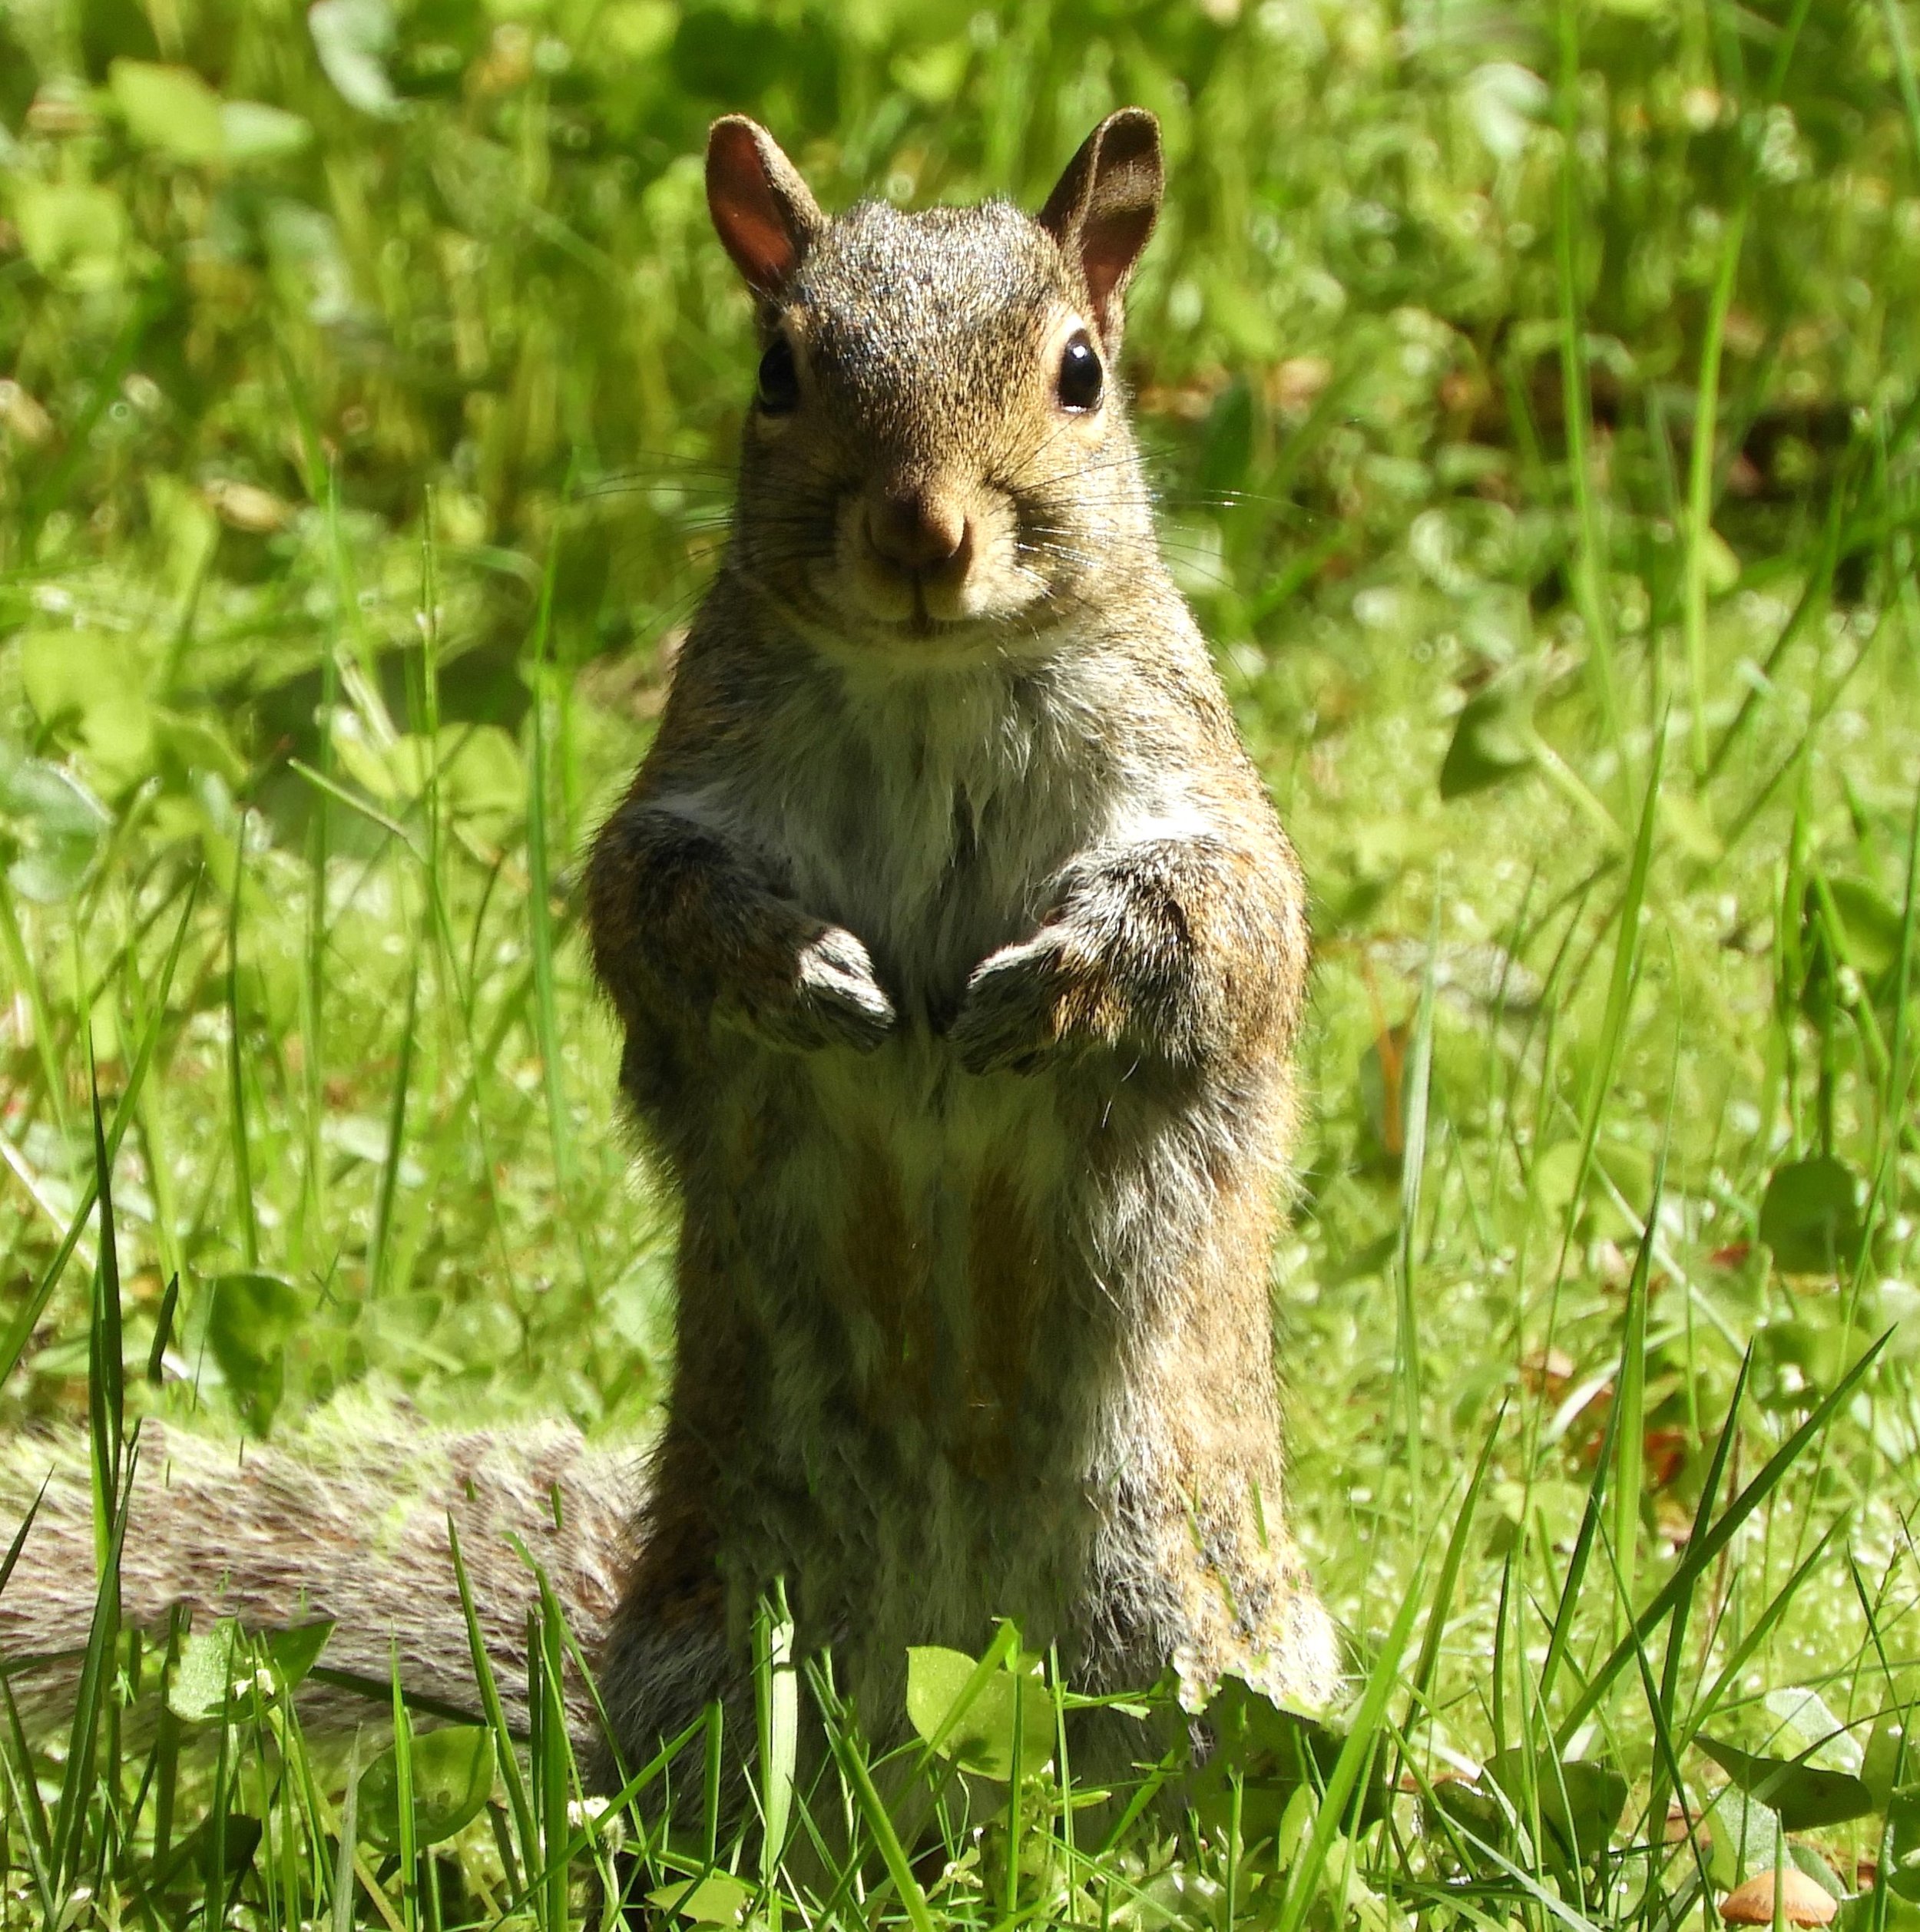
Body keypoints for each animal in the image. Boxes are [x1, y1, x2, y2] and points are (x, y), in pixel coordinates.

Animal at [1, 110, 1337, 1805]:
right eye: (778, 369)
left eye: (1081, 371)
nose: (921, 531)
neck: (927, 683)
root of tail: (936, 1754)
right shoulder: (681, 796)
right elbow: (652, 910)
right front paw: (800, 972)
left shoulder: (1200, 799)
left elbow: (1221, 934)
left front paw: (1054, 982)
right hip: (735, 1645)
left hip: (1172, 1625)